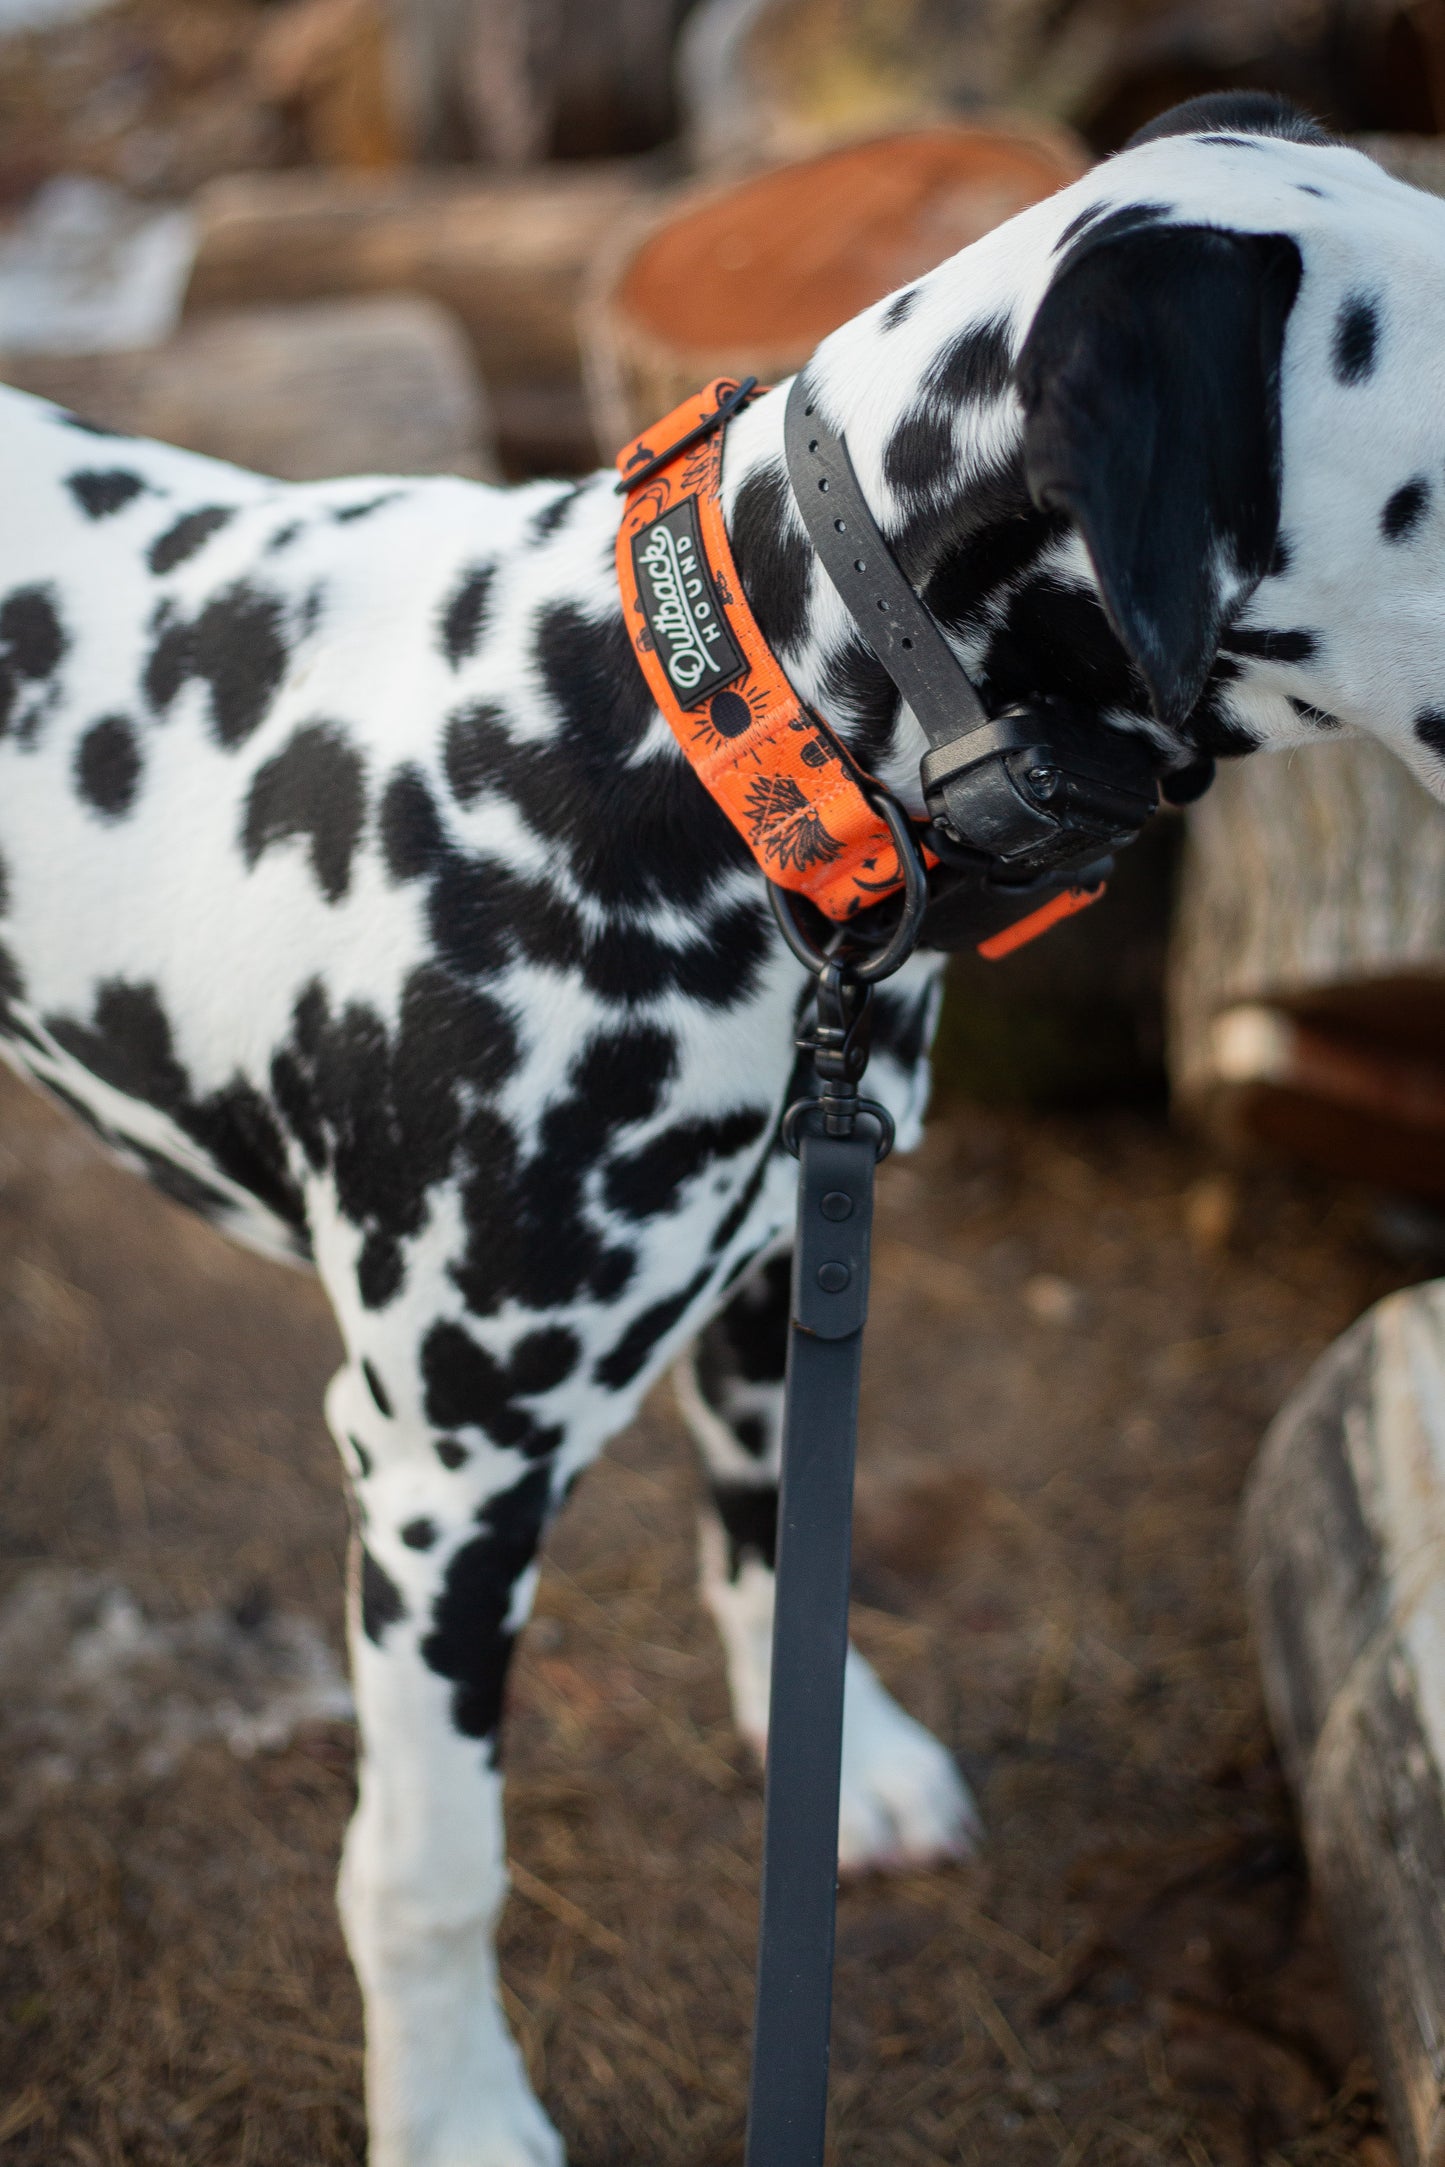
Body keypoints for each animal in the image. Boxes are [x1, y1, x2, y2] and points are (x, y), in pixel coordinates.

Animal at [2, 84, 1445, 2167]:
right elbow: (427, 1869)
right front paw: (453, 2111)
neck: (701, 746)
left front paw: (846, 1768)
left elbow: (775, 1548)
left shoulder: (784, 1272)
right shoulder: (442, 1475)